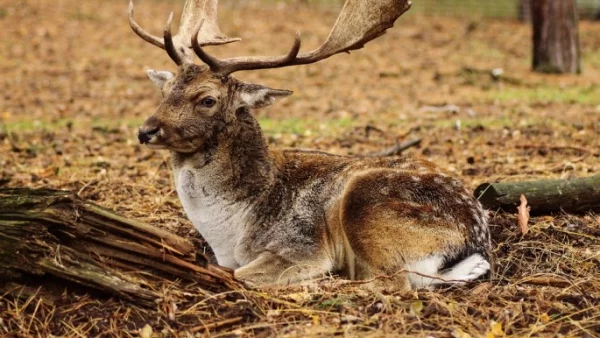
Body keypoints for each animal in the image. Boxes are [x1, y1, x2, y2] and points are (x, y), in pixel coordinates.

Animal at [129, 0, 490, 290]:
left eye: (207, 99)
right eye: (166, 90)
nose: (146, 131)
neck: (227, 230)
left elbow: (241, 275)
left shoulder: (301, 247)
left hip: (365, 203)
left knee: (393, 283)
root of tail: (475, 239)